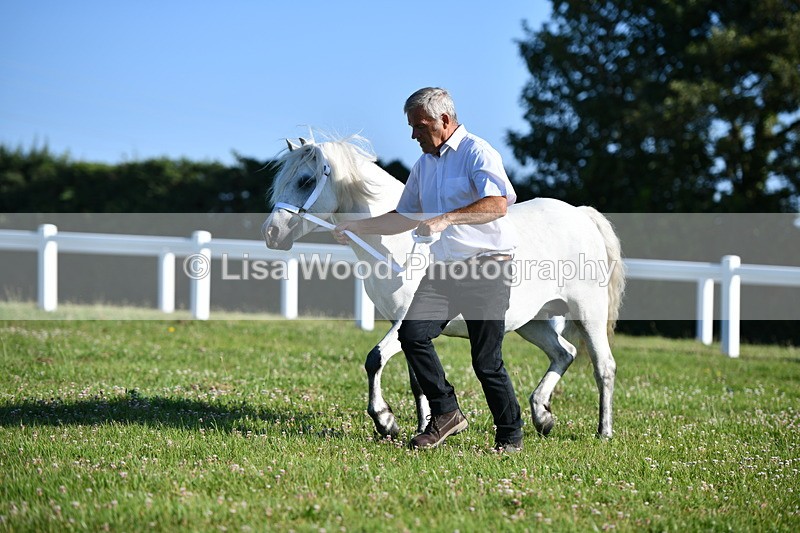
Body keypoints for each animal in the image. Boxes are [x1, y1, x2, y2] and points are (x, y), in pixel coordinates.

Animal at [262, 134, 625, 440]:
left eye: (305, 180)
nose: (272, 234)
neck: (401, 244)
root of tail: (581, 214)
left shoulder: (404, 323)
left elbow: (375, 359)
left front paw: (385, 421)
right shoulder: (406, 327)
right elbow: (418, 382)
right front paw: (425, 427)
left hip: (588, 313)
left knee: (603, 366)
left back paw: (603, 432)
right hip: (531, 322)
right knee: (565, 353)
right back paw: (542, 416)